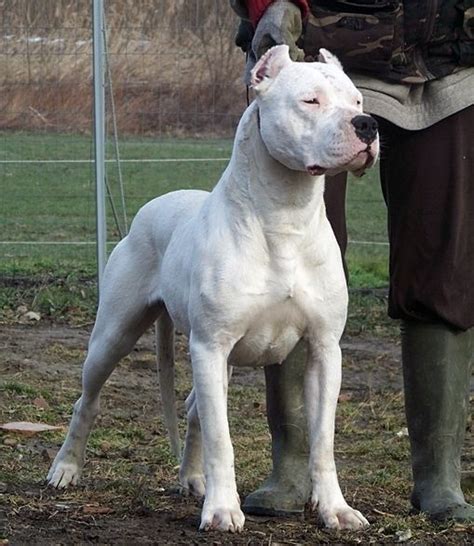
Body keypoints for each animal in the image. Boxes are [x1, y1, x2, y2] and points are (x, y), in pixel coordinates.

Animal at [48, 46, 380, 532]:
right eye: (310, 101)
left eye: (357, 100)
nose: (367, 124)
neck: (286, 216)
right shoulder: (209, 346)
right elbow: (223, 440)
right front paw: (224, 509)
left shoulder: (324, 350)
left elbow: (323, 441)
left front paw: (334, 509)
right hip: (113, 337)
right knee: (87, 401)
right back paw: (66, 468)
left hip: (216, 366)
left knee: (193, 412)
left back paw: (192, 478)